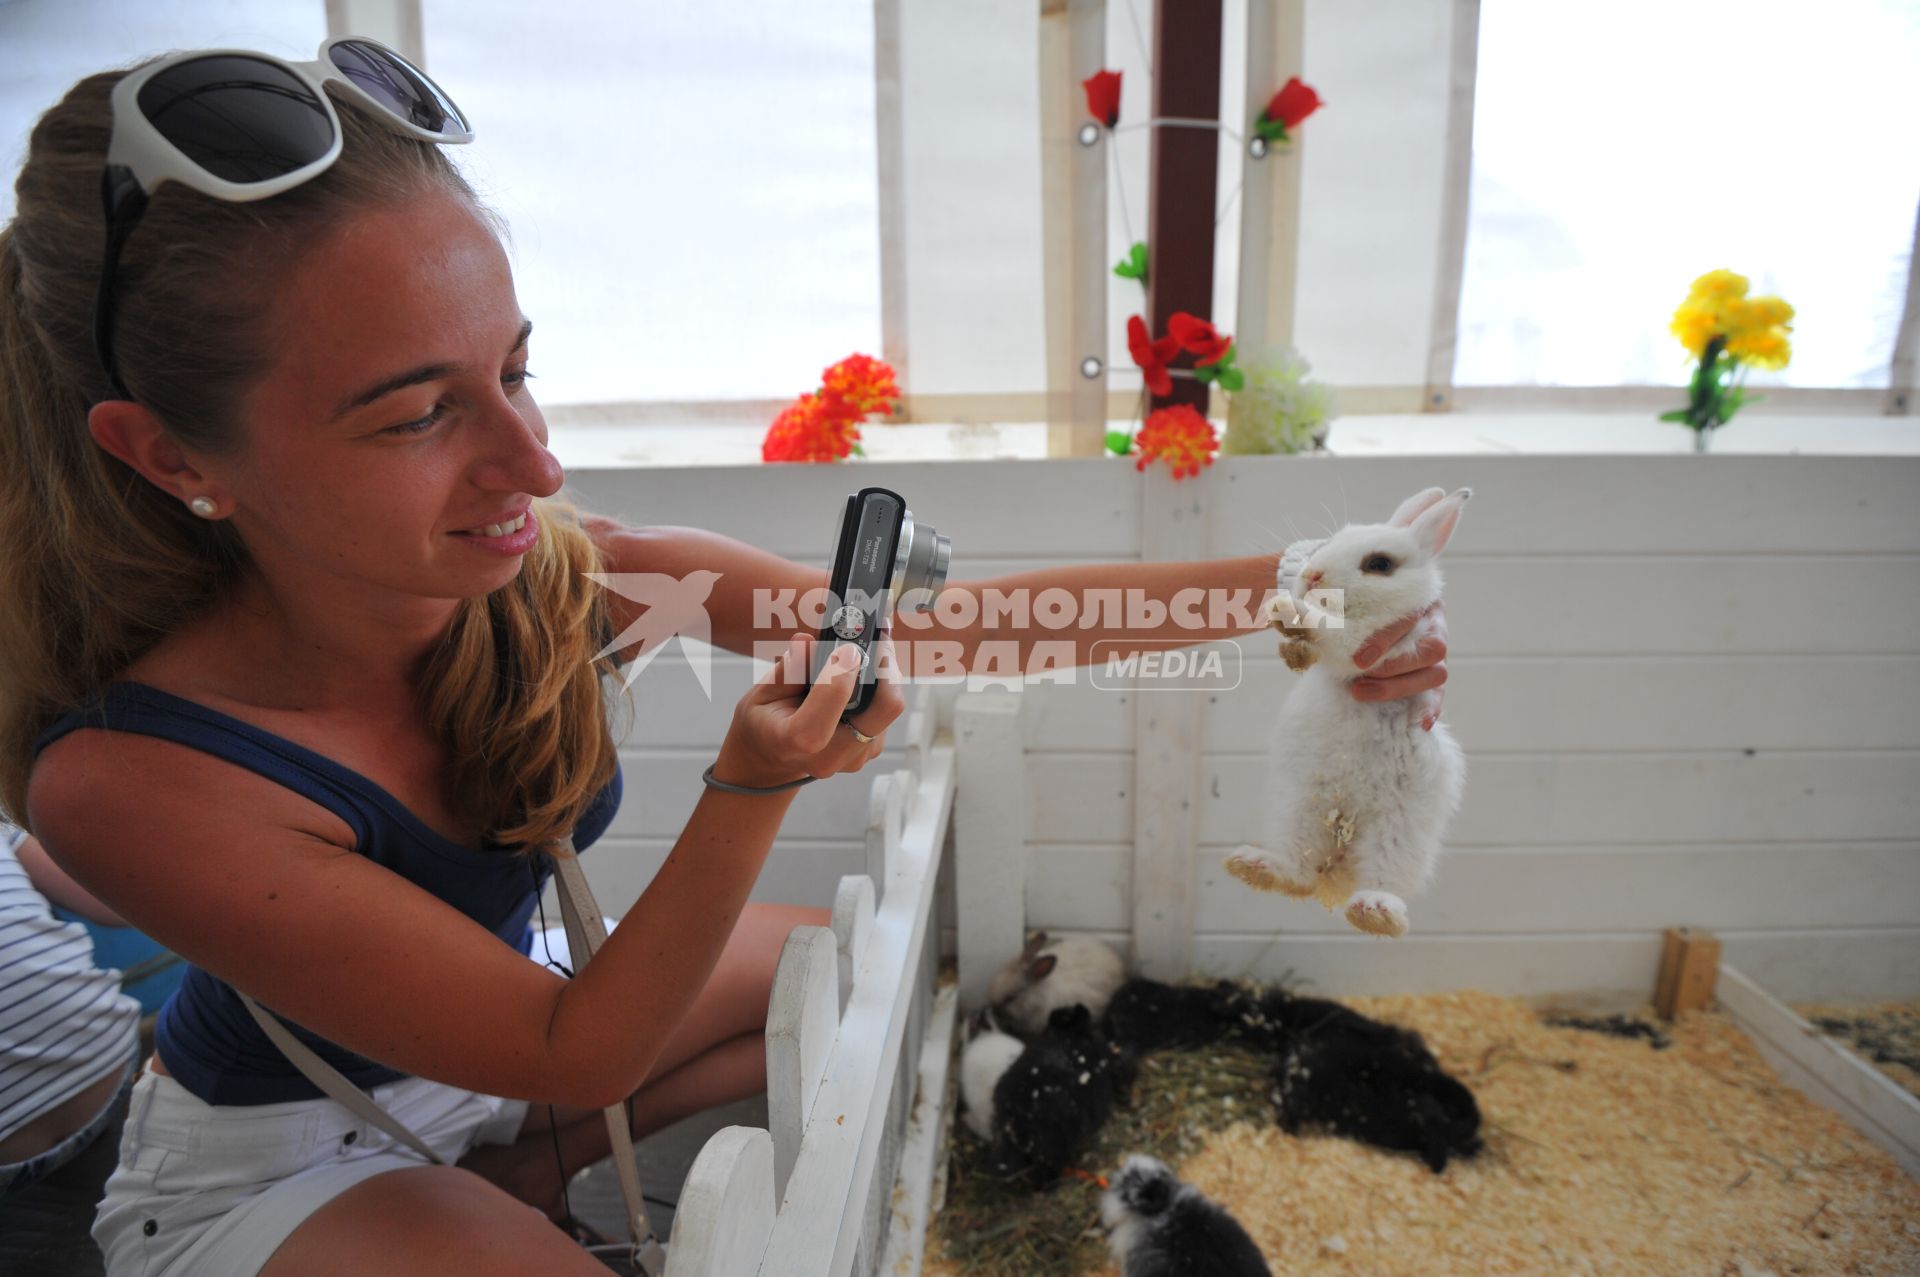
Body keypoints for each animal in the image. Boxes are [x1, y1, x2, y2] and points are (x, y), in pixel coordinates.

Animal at [1221, 487, 1474, 937]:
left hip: (1400, 832)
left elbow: (1339, 633)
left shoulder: (1374, 644)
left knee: (1383, 881)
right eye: (1333, 540)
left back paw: (1374, 911)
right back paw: (1256, 866)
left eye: (1379, 564)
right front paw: (1288, 627)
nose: (1312, 575)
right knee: (1298, 871)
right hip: (1296, 807)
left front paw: (1293, 611)